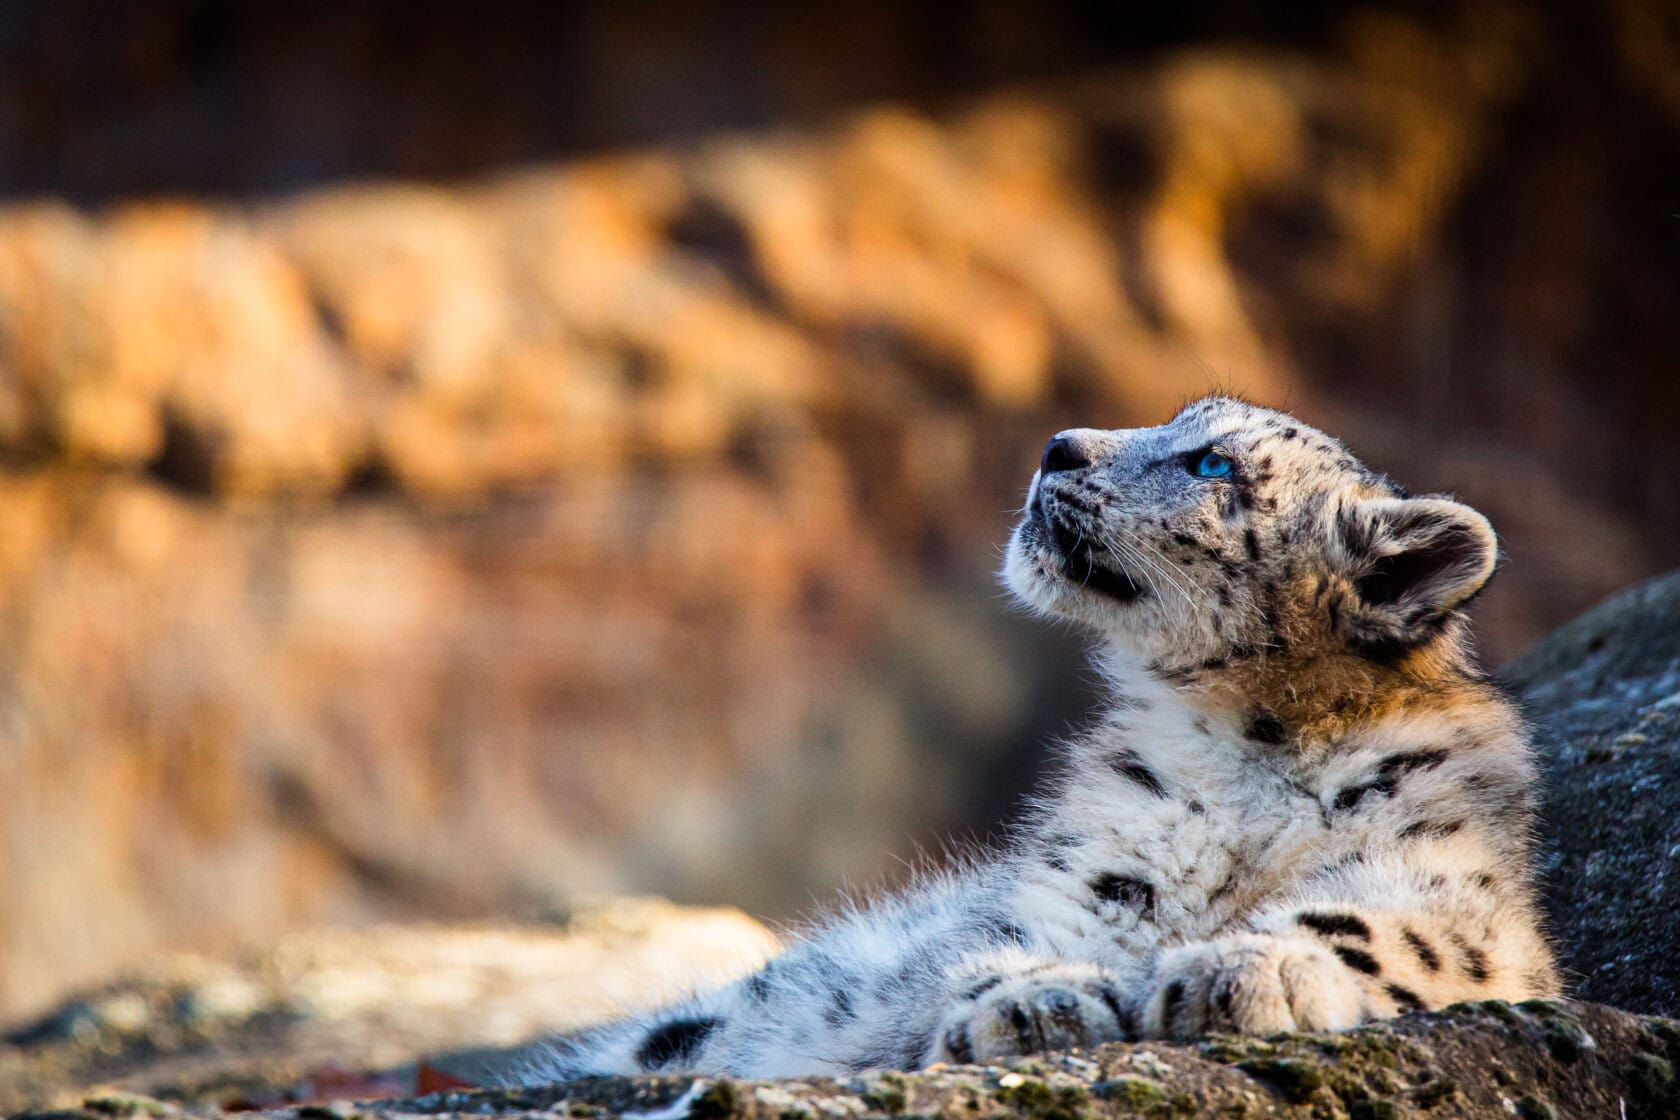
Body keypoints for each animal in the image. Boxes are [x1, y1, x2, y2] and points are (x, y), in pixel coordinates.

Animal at [514, 395, 1558, 1082]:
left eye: (1213, 465)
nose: (1060, 445)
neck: (1250, 742)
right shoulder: (1090, 876)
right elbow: (1002, 948)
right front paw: (1032, 1003)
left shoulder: (1446, 871)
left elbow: (1390, 928)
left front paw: (1243, 968)